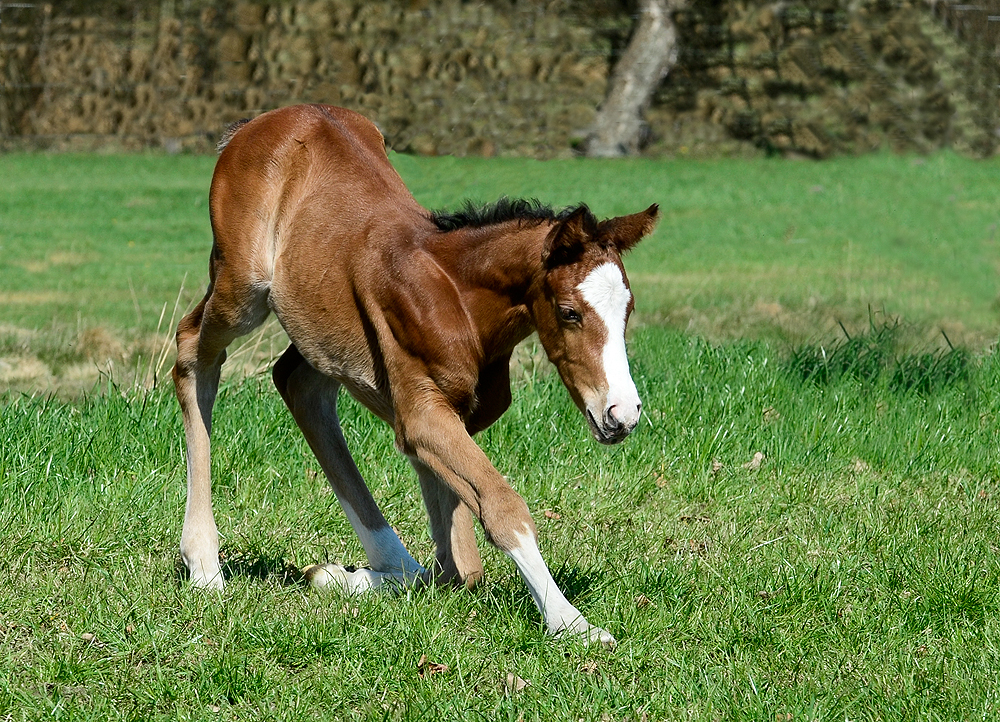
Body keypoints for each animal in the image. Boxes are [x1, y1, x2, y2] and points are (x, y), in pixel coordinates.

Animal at [174, 104, 656, 644]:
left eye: (628, 310)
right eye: (570, 312)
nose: (622, 413)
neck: (458, 300)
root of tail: (260, 123)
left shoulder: (453, 417)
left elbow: (460, 566)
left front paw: (350, 576)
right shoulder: (423, 414)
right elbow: (500, 506)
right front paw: (571, 622)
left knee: (298, 382)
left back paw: (372, 568)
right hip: (243, 287)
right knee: (194, 351)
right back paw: (204, 563)